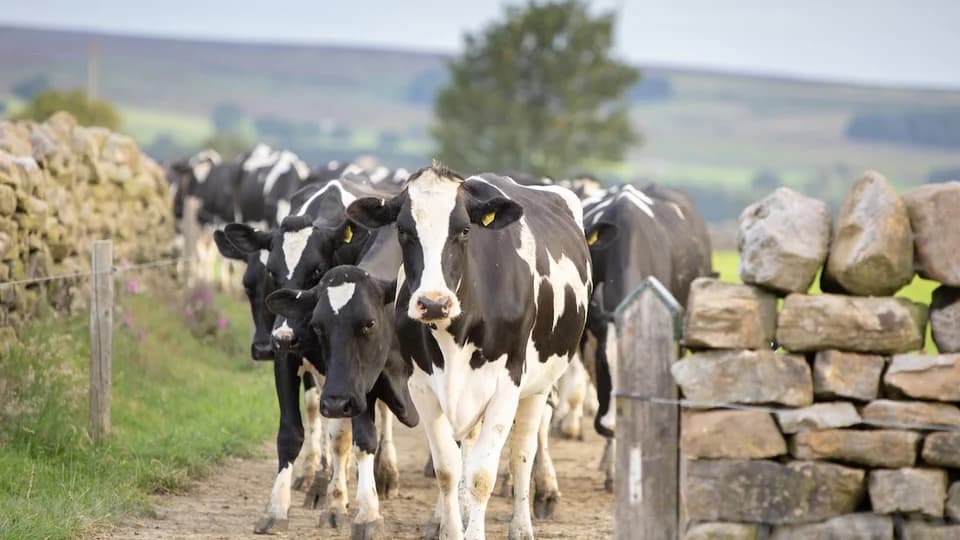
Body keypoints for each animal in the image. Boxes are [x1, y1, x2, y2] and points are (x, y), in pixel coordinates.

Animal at [346, 163, 592, 540]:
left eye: (463, 230)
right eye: (403, 230)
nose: (434, 302)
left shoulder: (507, 383)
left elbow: (481, 476)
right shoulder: (422, 386)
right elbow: (448, 470)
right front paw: (450, 527)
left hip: (538, 385)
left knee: (522, 453)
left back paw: (521, 526)